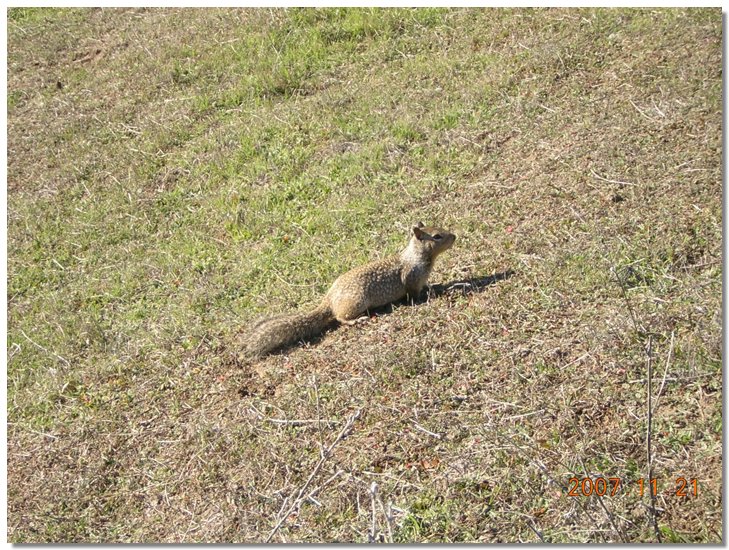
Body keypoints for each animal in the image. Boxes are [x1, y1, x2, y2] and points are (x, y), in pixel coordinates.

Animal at [243, 223, 456, 358]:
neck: (415, 257)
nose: (454, 236)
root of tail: (328, 301)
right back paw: (356, 321)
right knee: (339, 318)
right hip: (356, 302)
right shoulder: (411, 280)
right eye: (437, 236)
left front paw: (438, 286)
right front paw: (436, 293)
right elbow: (416, 296)